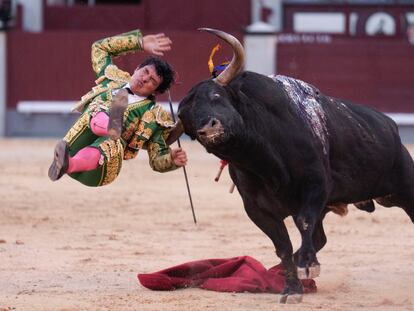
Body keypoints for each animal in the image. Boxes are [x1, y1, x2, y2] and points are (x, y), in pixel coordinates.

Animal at [169, 28, 414, 302]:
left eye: (216, 96)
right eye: (187, 121)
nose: (208, 129)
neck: (263, 160)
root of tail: (391, 126)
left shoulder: (315, 186)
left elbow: (303, 222)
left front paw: (307, 265)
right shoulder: (257, 209)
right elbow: (283, 246)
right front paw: (292, 287)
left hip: (406, 189)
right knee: (319, 237)